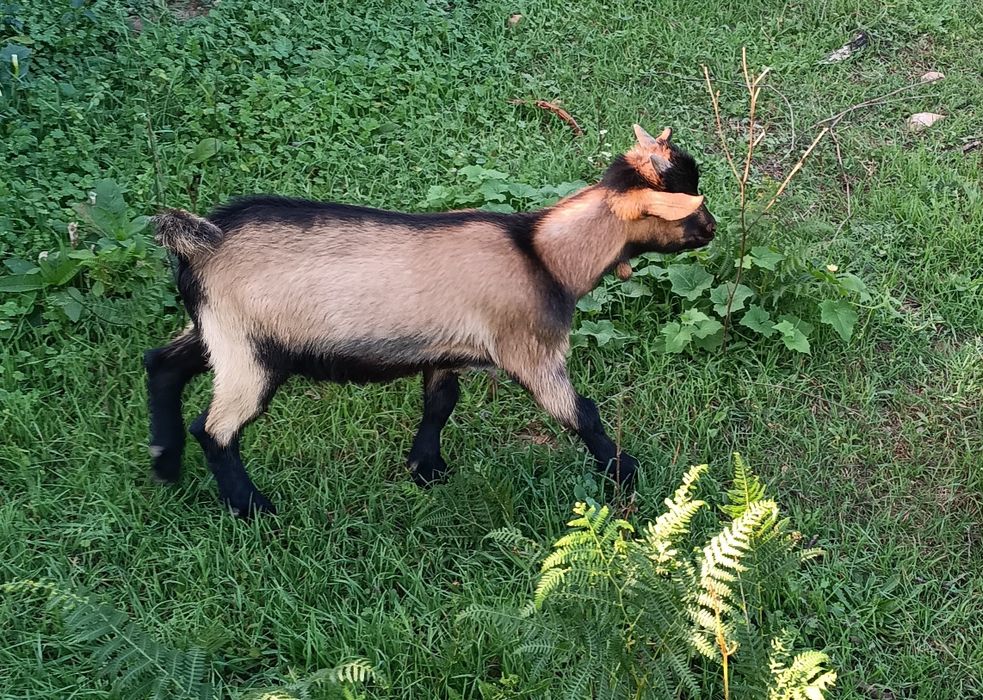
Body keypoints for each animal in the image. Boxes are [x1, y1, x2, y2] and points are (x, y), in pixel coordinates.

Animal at [144, 125, 716, 515]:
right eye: (690, 205)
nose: (712, 229)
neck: (542, 256)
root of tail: (197, 243)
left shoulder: (446, 350)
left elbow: (440, 404)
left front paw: (426, 470)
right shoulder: (531, 351)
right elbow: (581, 414)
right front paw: (626, 472)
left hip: (218, 332)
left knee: (162, 363)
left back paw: (164, 462)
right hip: (249, 353)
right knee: (215, 428)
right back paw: (252, 508)